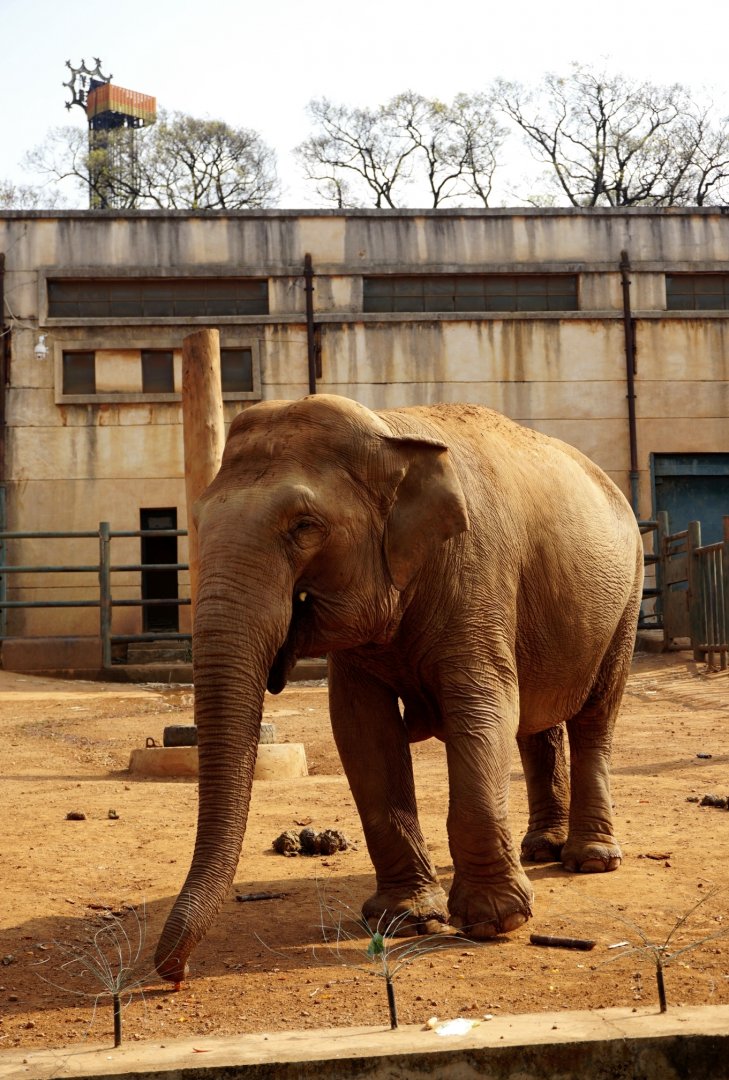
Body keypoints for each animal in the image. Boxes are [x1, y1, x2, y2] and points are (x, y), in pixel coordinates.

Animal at [155, 394, 644, 983]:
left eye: (304, 526)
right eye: (197, 520)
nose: (173, 973)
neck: (389, 432)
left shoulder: (477, 576)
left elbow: (482, 711)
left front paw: (494, 922)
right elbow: (362, 729)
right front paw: (406, 920)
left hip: (628, 596)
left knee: (595, 715)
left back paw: (589, 860)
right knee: (536, 721)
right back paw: (539, 849)